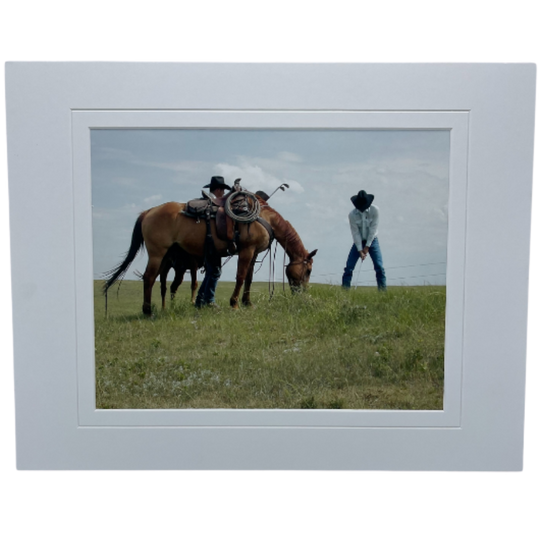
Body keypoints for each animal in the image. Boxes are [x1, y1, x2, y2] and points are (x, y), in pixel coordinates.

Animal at [104, 196, 316, 314]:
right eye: (308, 270)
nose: (303, 293)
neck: (264, 218)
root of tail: (149, 211)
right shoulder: (246, 250)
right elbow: (240, 277)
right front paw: (234, 304)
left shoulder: (253, 253)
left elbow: (248, 279)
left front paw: (248, 303)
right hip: (157, 254)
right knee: (149, 278)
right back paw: (147, 310)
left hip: (165, 258)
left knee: (158, 281)